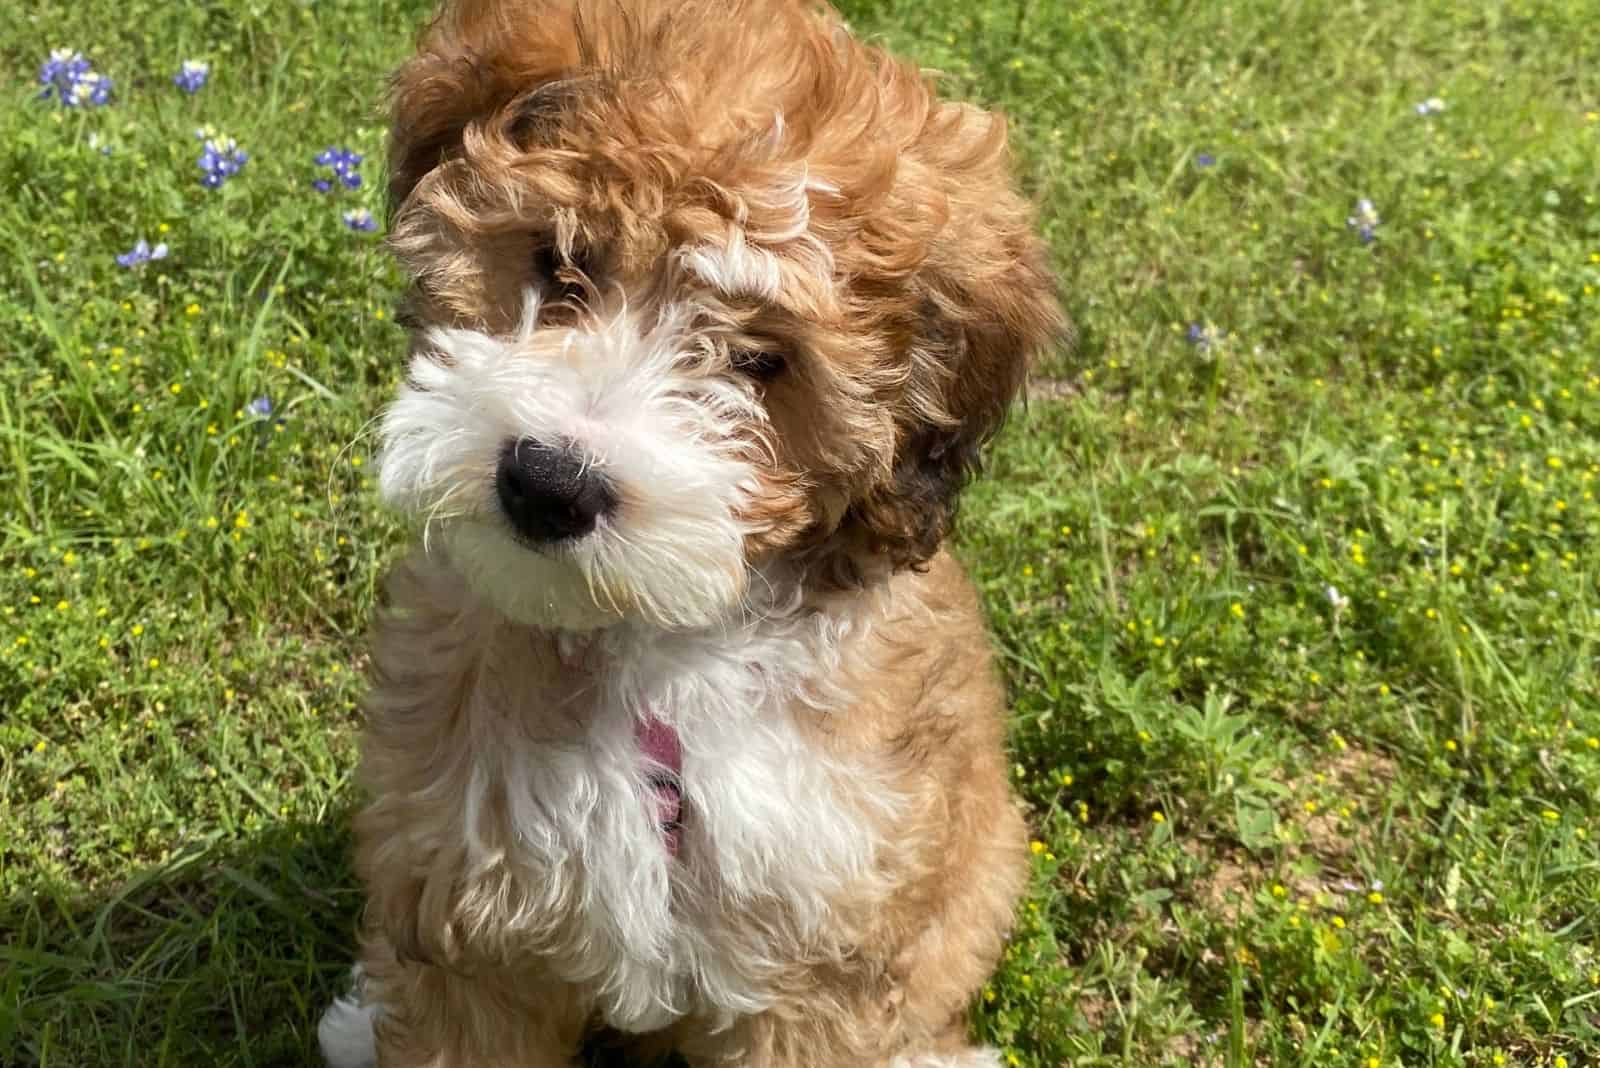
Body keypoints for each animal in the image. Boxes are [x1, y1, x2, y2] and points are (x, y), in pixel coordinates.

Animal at [315, 4, 1062, 1061]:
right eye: (560, 263)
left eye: (761, 360)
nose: (548, 484)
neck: (644, 646)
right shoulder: (467, 908)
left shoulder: (818, 943)